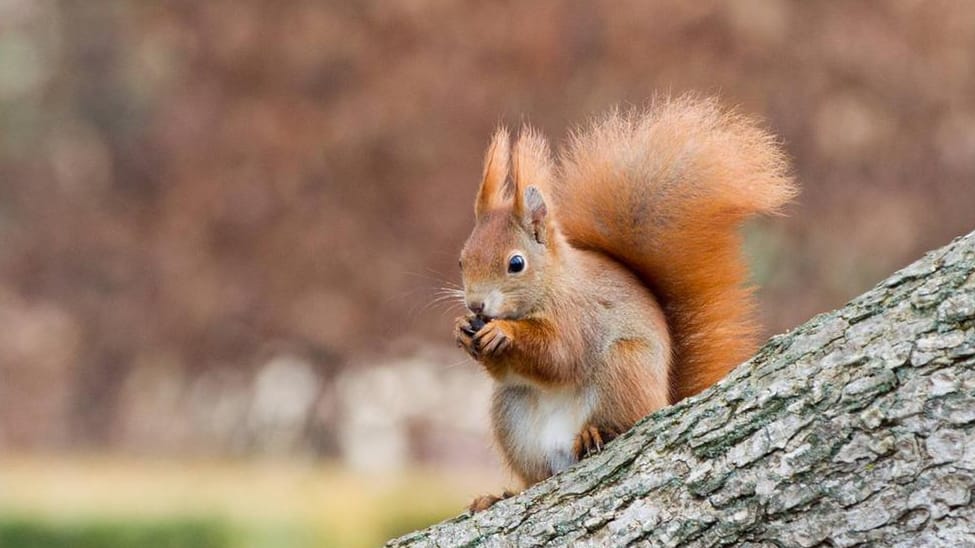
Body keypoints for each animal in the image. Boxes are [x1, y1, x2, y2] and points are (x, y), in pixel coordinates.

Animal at [454, 94, 796, 510]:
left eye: (515, 263)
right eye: (462, 260)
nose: (476, 306)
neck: (553, 284)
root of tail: (664, 397)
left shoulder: (580, 315)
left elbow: (559, 353)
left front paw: (503, 332)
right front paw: (463, 330)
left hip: (623, 369)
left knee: (621, 423)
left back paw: (594, 435)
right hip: (512, 415)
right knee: (538, 478)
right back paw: (500, 495)